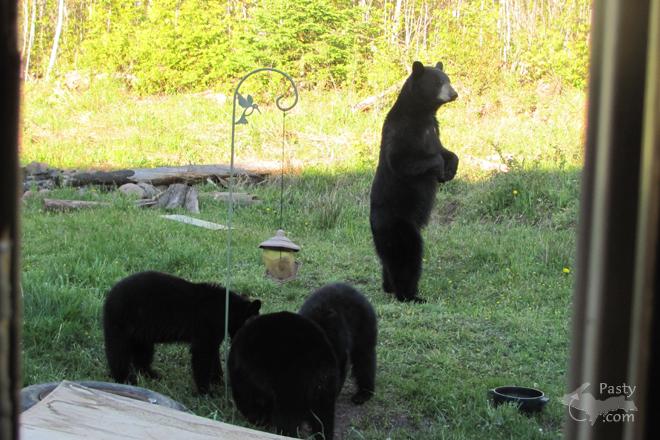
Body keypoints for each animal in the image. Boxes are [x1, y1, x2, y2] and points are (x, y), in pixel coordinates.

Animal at [102, 270, 261, 394]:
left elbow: (214, 353)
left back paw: (152, 374)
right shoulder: (206, 327)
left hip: (141, 333)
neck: (228, 310)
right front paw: (206, 391)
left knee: (143, 354)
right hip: (120, 324)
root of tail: (109, 297)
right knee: (118, 353)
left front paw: (218, 380)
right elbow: (202, 355)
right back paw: (124, 379)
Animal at [370, 61, 459, 303]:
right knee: (407, 254)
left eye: (448, 79)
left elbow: (448, 151)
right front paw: (439, 169)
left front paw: (450, 171)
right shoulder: (402, 132)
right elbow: (404, 160)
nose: (454, 93)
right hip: (399, 225)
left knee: (389, 260)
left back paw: (388, 287)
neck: (421, 114)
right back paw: (409, 295)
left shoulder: (435, 129)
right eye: (439, 82)